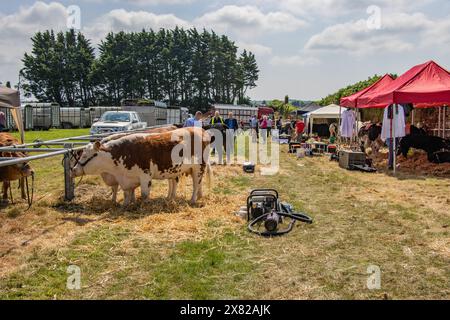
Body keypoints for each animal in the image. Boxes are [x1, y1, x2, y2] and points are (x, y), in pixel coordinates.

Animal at [72, 127, 213, 205]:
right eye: (81, 154)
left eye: (85, 156)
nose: (73, 170)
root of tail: (201, 130)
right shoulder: (126, 179)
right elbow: (127, 193)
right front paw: (126, 205)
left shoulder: (145, 176)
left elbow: (144, 194)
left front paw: (143, 205)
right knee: (189, 183)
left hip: (199, 167)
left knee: (196, 184)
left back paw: (193, 200)